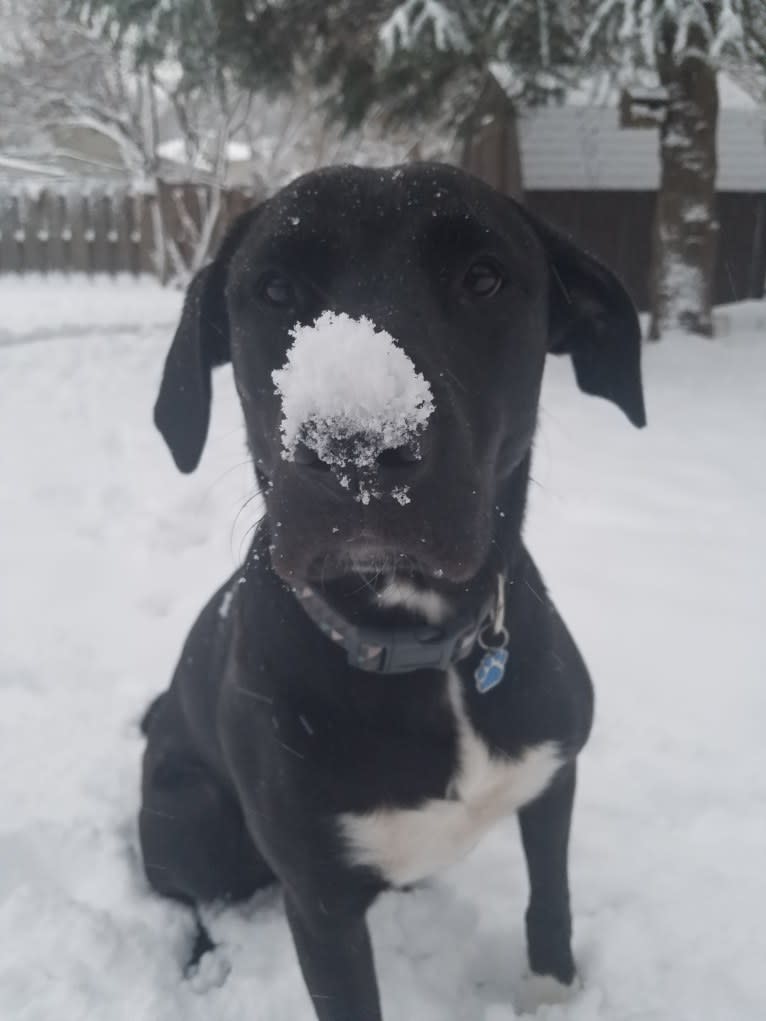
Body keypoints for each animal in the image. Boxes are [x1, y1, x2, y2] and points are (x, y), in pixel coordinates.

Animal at [140, 163, 645, 1016]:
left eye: (484, 277)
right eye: (274, 288)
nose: (356, 447)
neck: (428, 647)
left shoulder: (554, 775)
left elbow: (551, 901)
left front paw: (550, 989)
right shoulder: (319, 902)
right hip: (191, 811)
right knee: (188, 897)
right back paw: (205, 964)